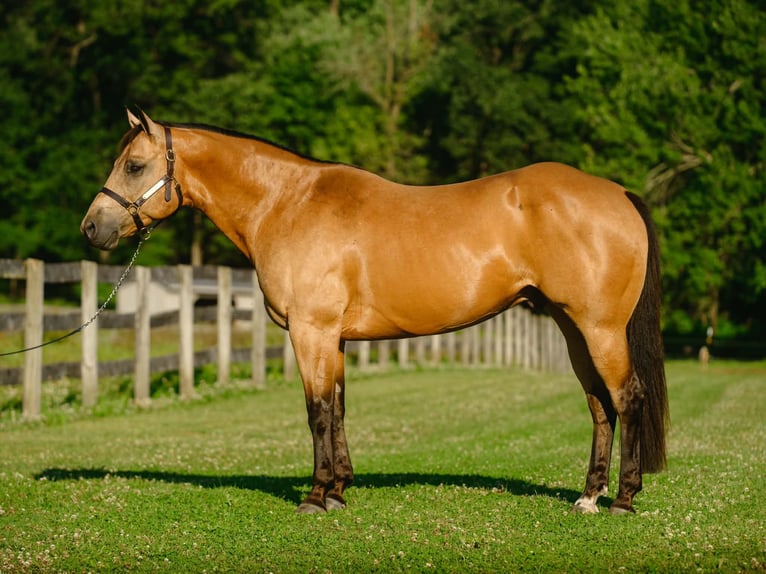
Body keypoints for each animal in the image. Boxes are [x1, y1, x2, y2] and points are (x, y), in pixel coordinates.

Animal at [81, 109, 668, 515]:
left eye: (134, 165)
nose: (92, 227)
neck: (287, 203)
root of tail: (617, 192)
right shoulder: (333, 338)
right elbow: (339, 408)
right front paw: (340, 489)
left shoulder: (311, 332)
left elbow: (318, 410)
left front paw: (316, 496)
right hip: (573, 329)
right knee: (600, 406)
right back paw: (589, 496)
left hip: (599, 329)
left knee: (627, 397)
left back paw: (622, 499)